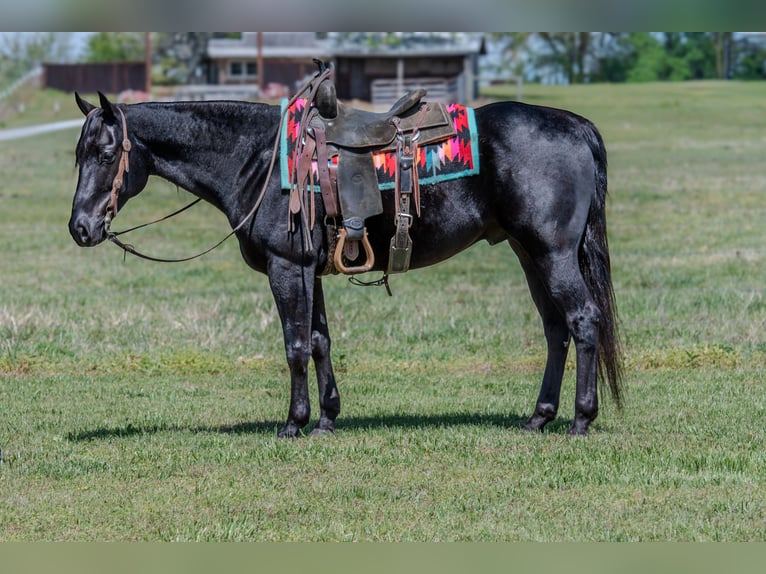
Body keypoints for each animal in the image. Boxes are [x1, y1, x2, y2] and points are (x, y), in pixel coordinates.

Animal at [68, 90, 623, 438]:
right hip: (528, 252)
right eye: (79, 154)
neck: (257, 160)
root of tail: (575, 126)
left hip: (552, 253)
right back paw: (539, 417)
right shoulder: (307, 271)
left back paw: (580, 419)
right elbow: (318, 341)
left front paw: (293, 423)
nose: (80, 227)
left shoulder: (286, 268)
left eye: (107, 152)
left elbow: (294, 346)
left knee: (582, 321)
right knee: (556, 329)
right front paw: (327, 418)